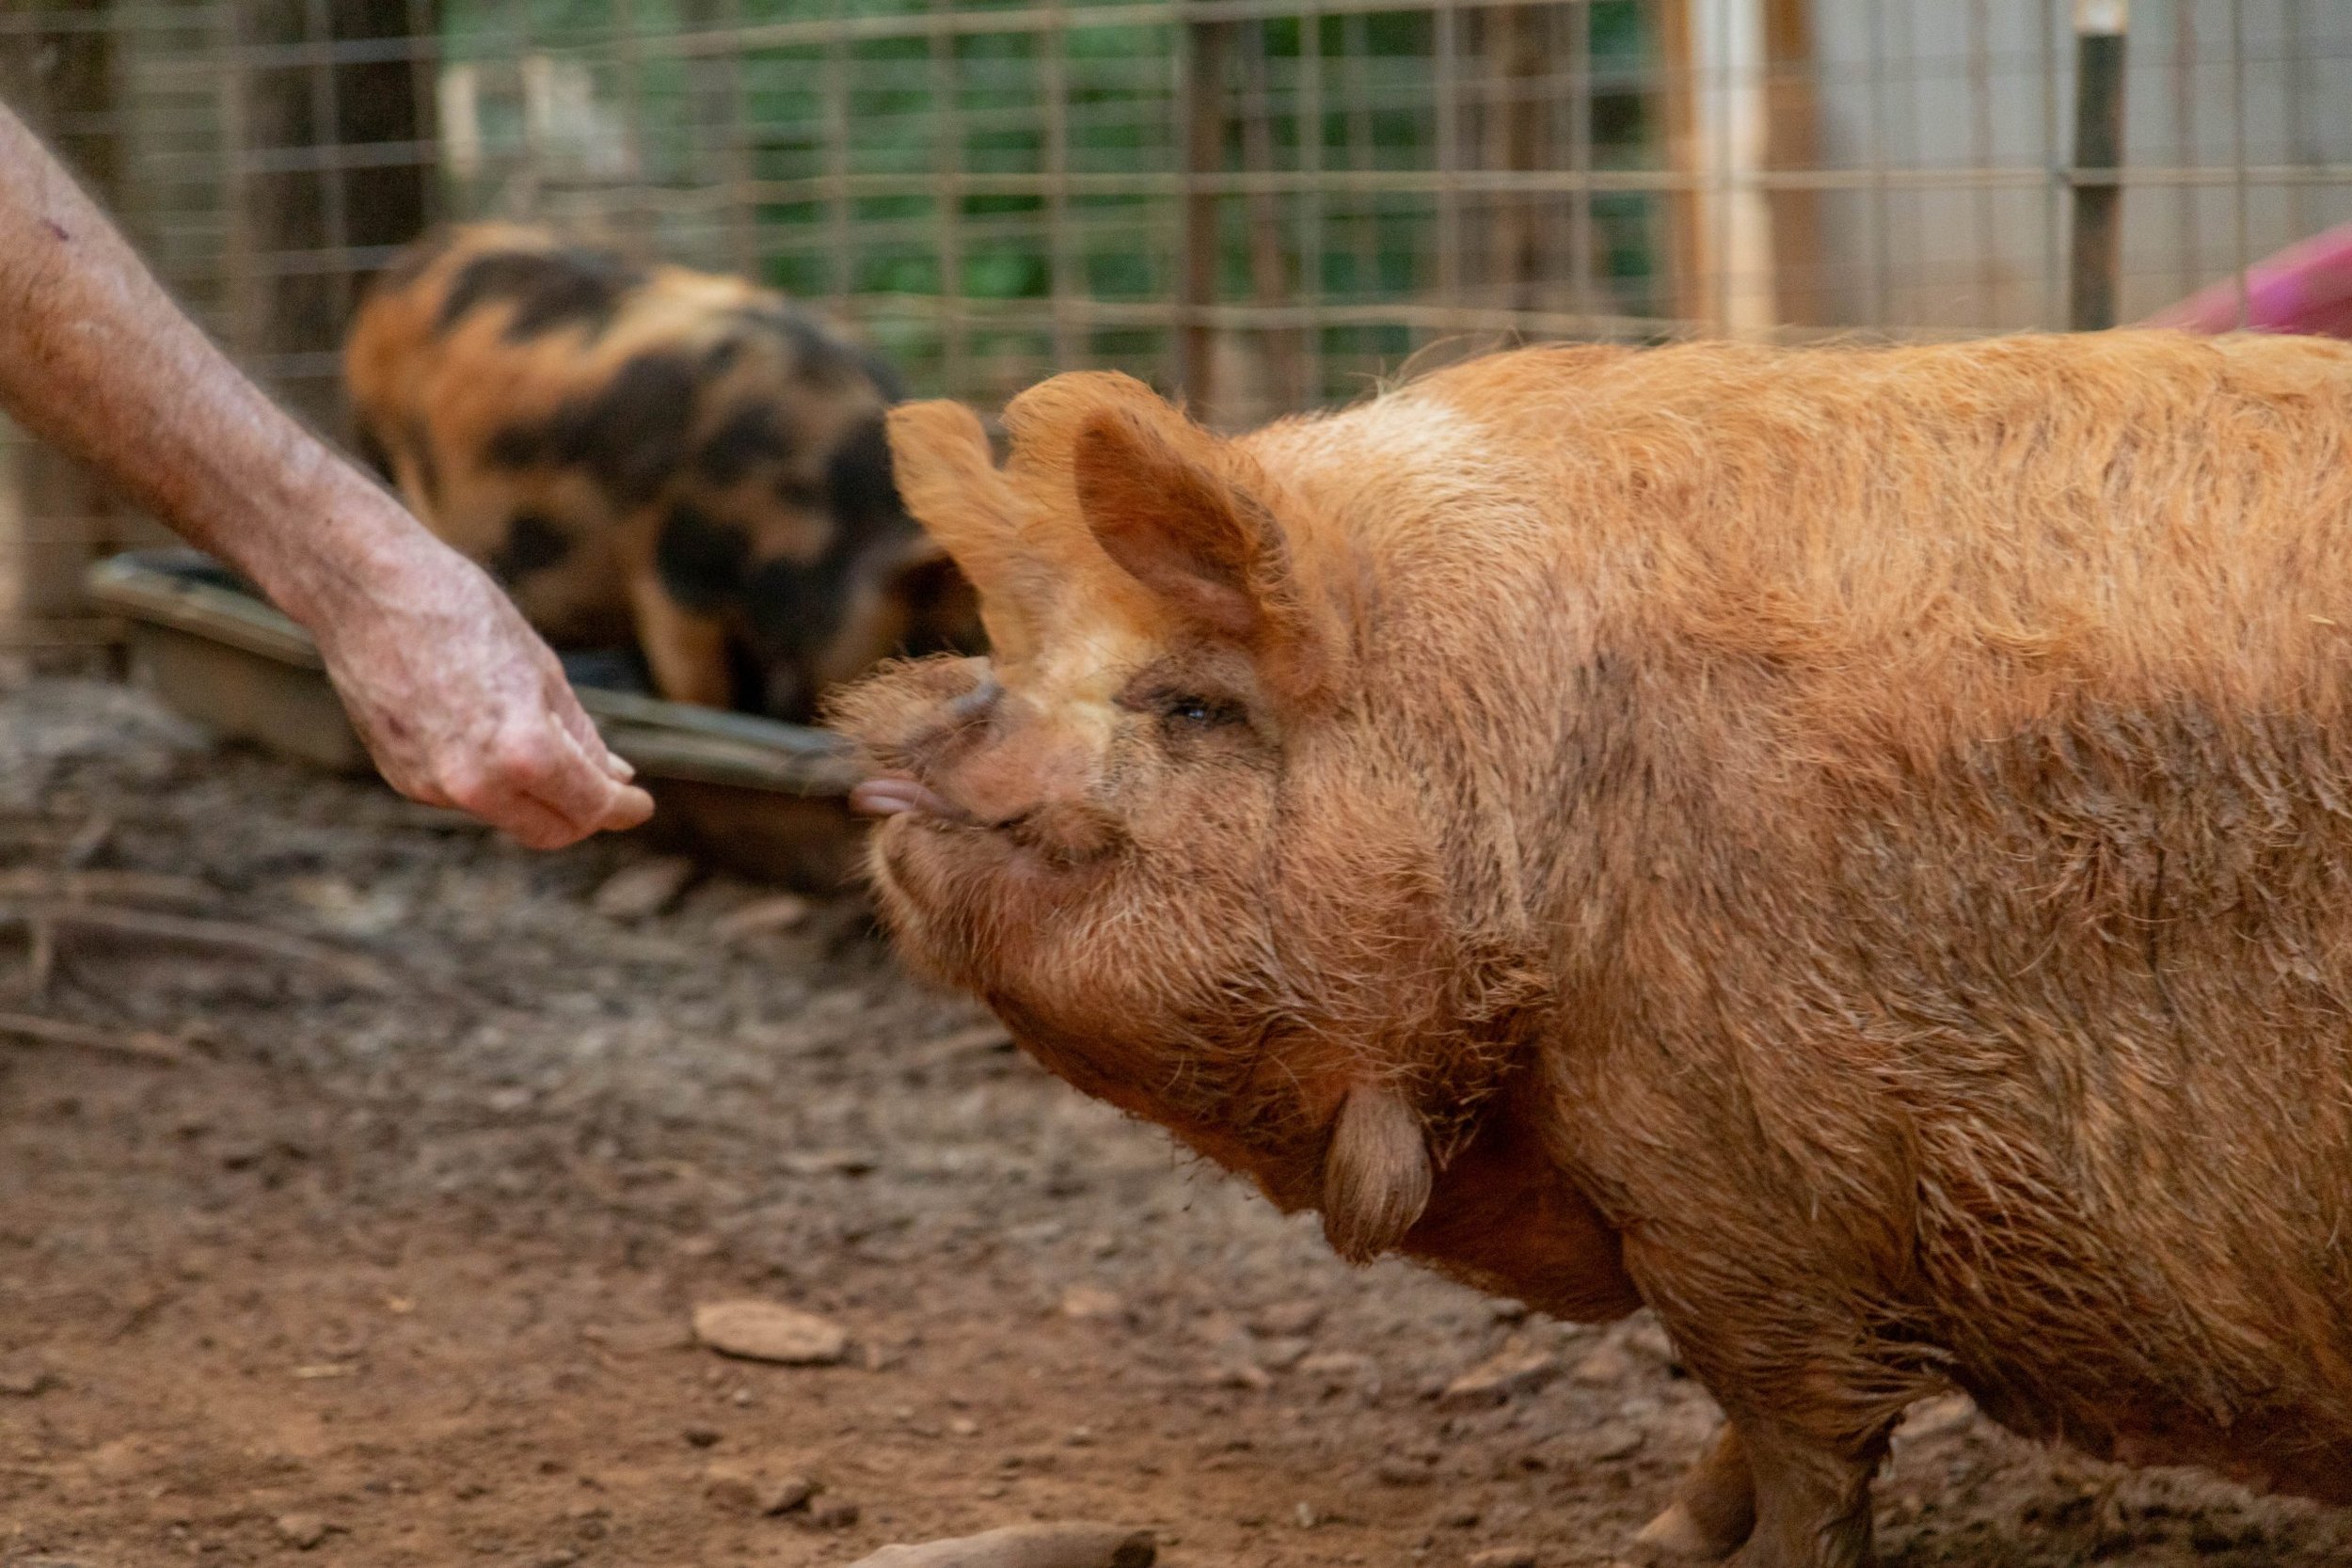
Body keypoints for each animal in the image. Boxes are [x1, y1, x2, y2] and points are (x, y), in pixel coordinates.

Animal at [834, 331, 2352, 1567]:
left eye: (1194, 705)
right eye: (1025, 649)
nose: (921, 726)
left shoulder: (1740, 1165)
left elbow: (1801, 1438)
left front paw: (1694, 1550)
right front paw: (1658, 1535)